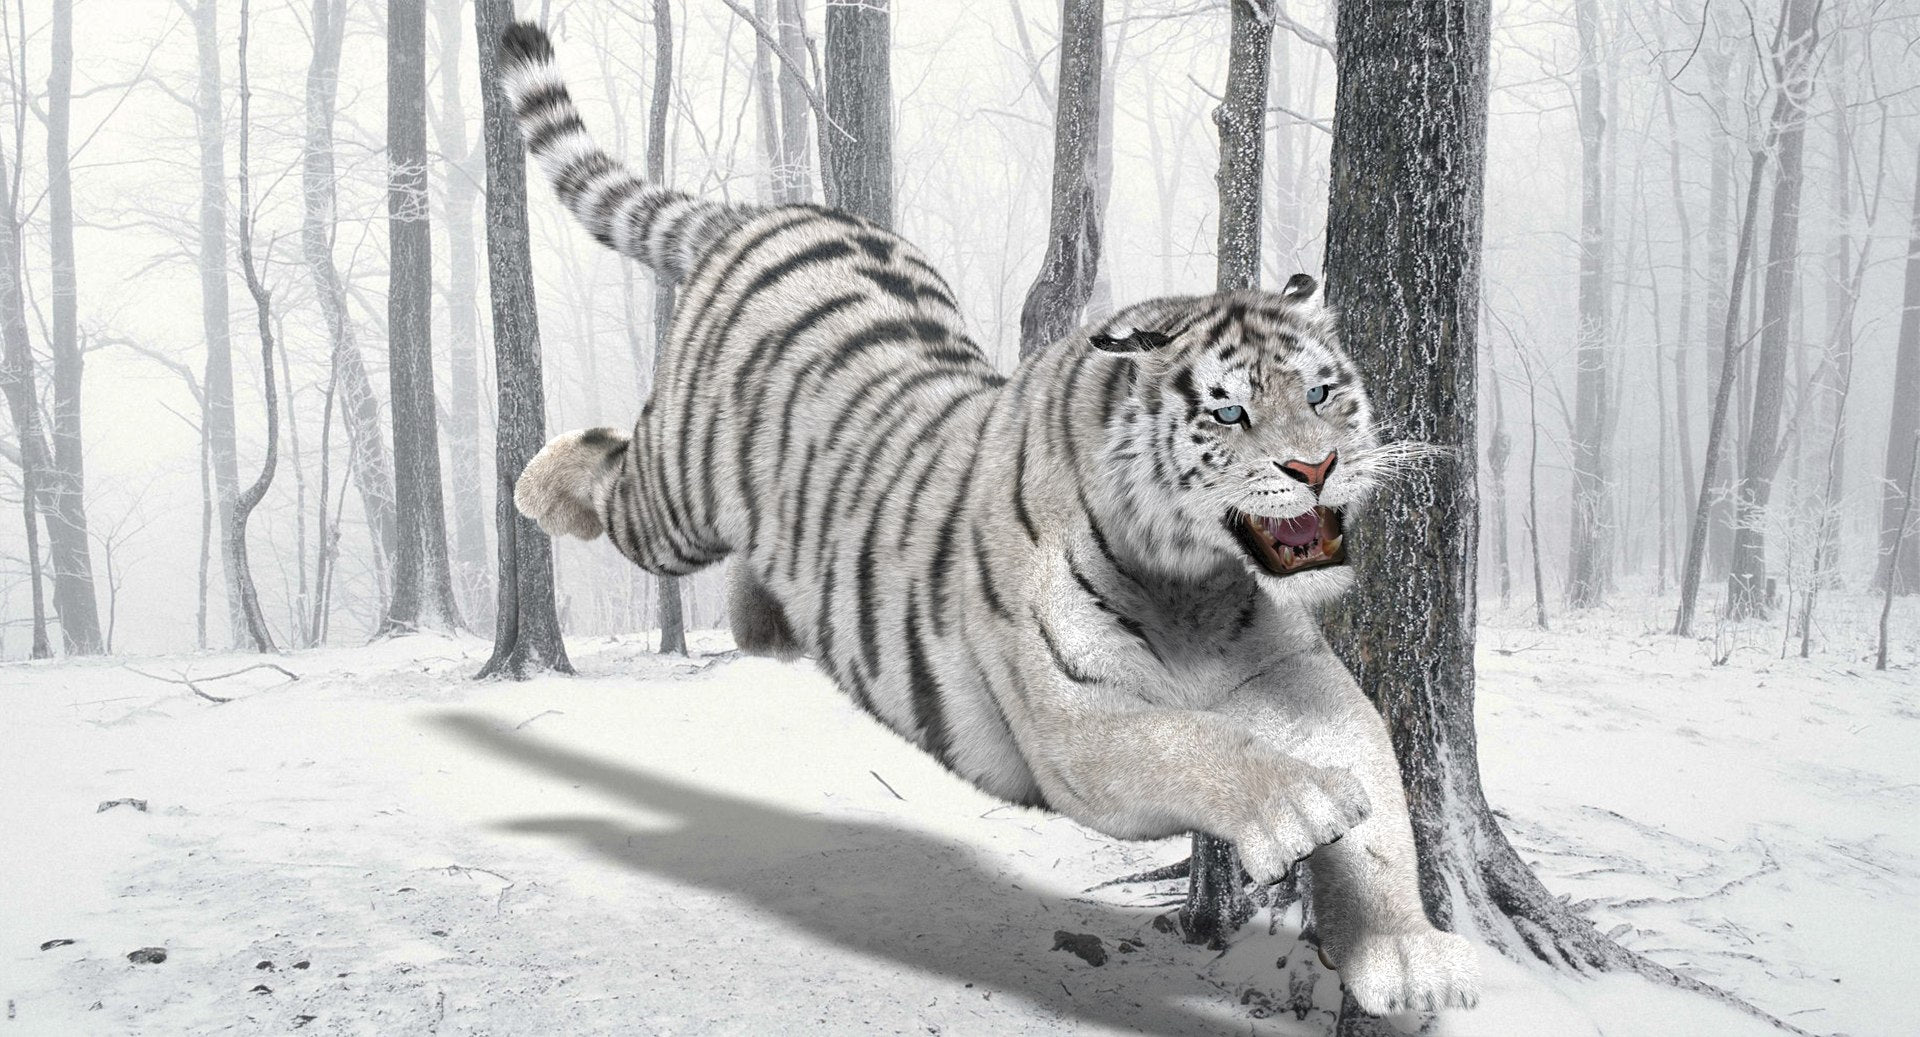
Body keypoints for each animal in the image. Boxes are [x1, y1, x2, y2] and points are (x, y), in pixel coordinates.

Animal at [497, 22, 1477, 1018]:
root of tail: (763, 216)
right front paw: (1300, 807)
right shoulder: (1076, 724)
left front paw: (1407, 954)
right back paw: (536, 484)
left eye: (1321, 394)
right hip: (677, 495)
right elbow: (1189, 742)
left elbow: (1379, 782)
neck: (1191, 581)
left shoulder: (1293, 670)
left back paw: (766, 616)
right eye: (1230, 413)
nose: (1316, 467)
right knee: (620, 476)